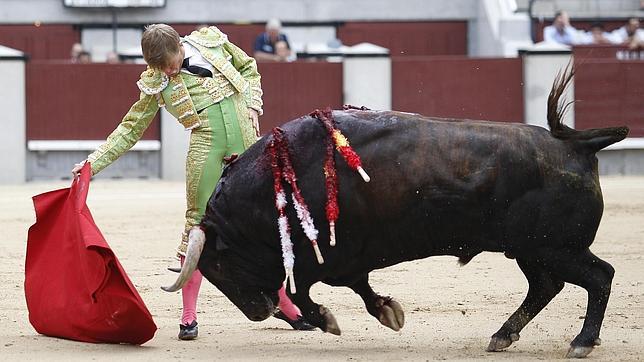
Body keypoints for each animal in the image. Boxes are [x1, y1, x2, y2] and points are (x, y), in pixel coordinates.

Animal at [165, 68, 628, 360]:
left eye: (217, 264)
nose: (256, 311)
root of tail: (576, 145)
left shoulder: (329, 259)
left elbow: (305, 294)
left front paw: (330, 321)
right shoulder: (347, 262)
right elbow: (358, 290)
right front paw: (388, 312)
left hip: (555, 247)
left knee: (598, 276)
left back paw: (581, 341)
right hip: (530, 250)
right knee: (546, 286)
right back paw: (502, 336)